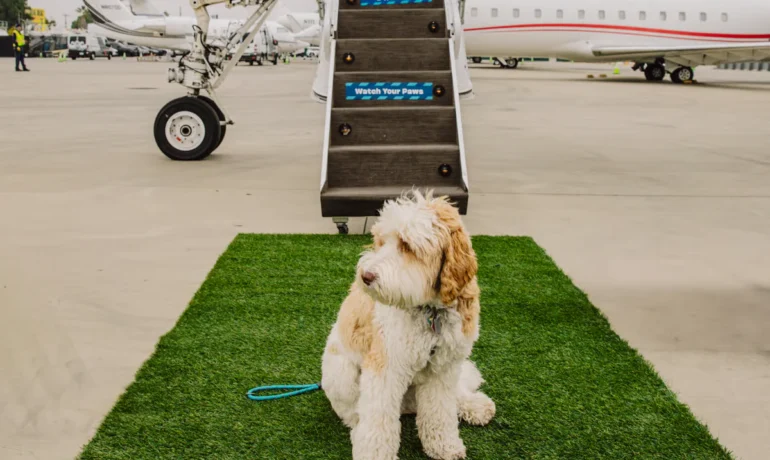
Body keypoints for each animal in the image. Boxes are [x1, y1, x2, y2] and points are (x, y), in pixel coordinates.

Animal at [321, 191, 495, 460]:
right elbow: (378, 421)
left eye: (407, 246)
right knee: (355, 415)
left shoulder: (443, 369)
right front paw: (375, 454)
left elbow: (440, 411)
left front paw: (444, 446)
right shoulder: (386, 367)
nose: (366, 276)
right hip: (341, 375)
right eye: (381, 242)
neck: (431, 312)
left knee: (454, 395)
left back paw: (475, 406)